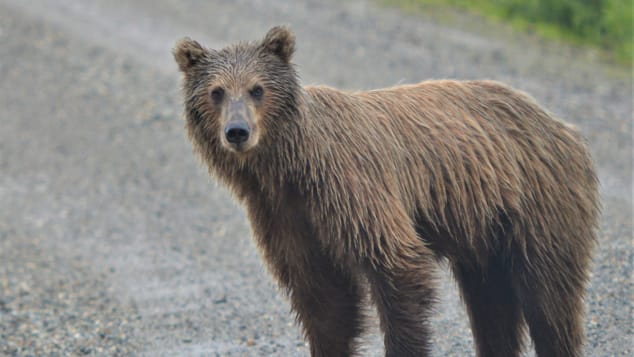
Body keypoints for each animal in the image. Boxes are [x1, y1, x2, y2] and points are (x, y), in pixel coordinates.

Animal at [172, 25, 596, 356]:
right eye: (216, 91)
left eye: (257, 89)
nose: (237, 131)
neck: (289, 169)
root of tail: (561, 125)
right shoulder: (285, 217)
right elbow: (323, 302)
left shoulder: (352, 189)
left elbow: (397, 267)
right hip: (485, 231)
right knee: (492, 304)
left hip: (539, 203)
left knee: (549, 298)